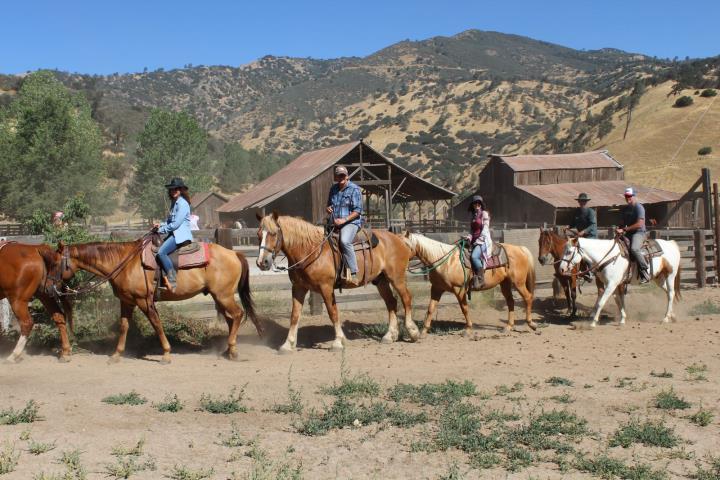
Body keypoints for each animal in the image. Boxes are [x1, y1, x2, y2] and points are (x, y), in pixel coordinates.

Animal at [48, 238, 262, 362]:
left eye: (55, 263)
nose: (49, 287)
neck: (124, 263)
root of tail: (234, 253)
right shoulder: (127, 301)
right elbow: (124, 326)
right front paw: (116, 354)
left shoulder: (144, 300)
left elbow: (156, 323)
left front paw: (166, 353)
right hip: (220, 297)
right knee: (231, 318)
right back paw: (228, 350)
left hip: (224, 295)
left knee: (237, 314)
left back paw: (233, 350)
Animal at [258, 212, 416, 350]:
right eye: (259, 235)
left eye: (273, 233)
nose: (262, 262)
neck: (311, 251)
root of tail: (398, 239)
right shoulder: (298, 288)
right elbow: (294, 315)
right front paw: (288, 344)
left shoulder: (326, 287)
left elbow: (332, 312)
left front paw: (338, 342)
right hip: (381, 281)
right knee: (391, 302)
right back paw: (390, 336)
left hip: (396, 278)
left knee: (406, 298)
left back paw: (413, 332)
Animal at [402, 232, 536, 334]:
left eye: (404, 244)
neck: (446, 262)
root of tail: (521, 249)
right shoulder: (436, 289)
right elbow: (430, 309)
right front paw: (423, 331)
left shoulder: (459, 289)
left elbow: (464, 308)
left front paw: (468, 329)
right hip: (505, 283)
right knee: (510, 302)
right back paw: (508, 327)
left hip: (518, 283)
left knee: (528, 297)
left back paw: (531, 324)